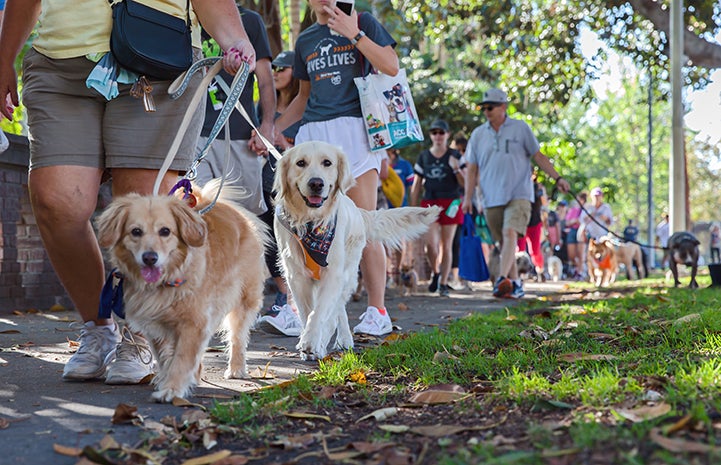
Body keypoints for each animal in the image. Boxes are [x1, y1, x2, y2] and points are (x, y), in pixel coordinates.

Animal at [94, 179, 266, 400]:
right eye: (136, 231)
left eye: (165, 231)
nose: (150, 258)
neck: (166, 281)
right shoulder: (155, 326)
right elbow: (165, 358)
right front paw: (168, 380)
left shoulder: (193, 323)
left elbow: (182, 358)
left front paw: (172, 389)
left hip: (243, 301)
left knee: (238, 337)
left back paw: (236, 369)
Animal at [272, 140, 436, 358]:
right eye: (300, 163)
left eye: (327, 162)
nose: (316, 183)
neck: (311, 222)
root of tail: (358, 211)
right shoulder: (296, 276)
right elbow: (308, 312)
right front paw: (310, 341)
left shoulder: (333, 273)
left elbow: (320, 312)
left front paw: (312, 341)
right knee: (337, 309)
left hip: (348, 273)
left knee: (335, 310)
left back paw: (337, 340)